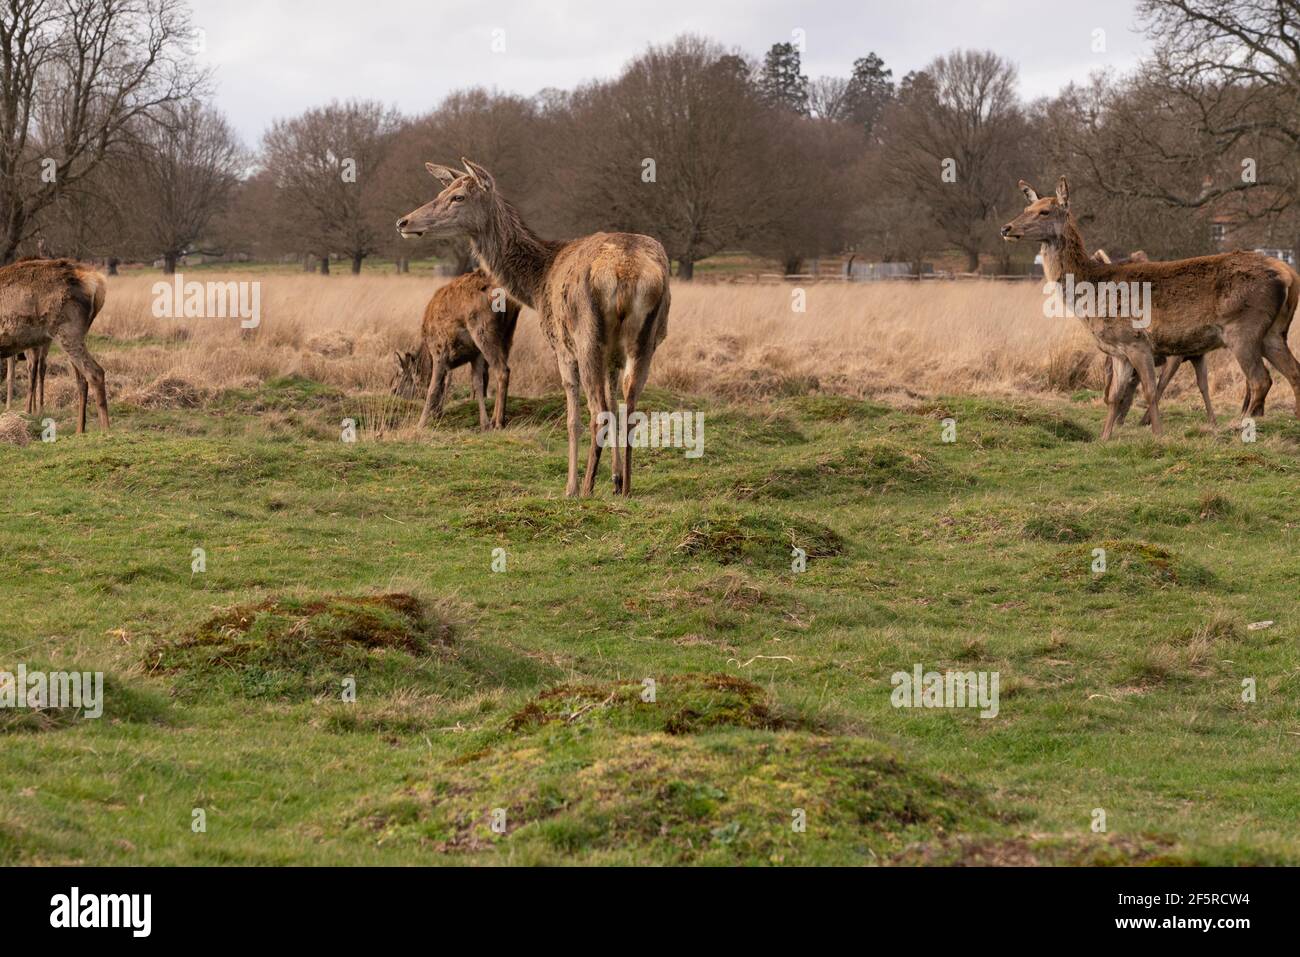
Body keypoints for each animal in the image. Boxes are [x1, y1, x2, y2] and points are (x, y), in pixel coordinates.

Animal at [390, 269, 522, 434]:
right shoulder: (475, 354)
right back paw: (493, 420)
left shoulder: (440, 351)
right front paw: (483, 424)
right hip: (508, 333)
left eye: (398, 379)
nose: (392, 391)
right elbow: (477, 383)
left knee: (502, 370)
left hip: (483, 331)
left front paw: (421, 423)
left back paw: (499, 422)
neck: (427, 355)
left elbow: (434, 387)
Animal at [1003, 175, 1300, 436]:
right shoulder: (1119, 351)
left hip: (1242, 328)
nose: (1006, 228)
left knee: (1261, 380)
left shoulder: (1136, 340)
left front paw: (1158, 435)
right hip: (1273, 332)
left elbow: (1150, 391)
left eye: (1044, 211)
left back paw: (1239, 427)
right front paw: (1103, 438)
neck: (1092, 293)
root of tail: (1288, 273)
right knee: (1294, 373)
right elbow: (1115, 396)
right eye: (1026, 208)